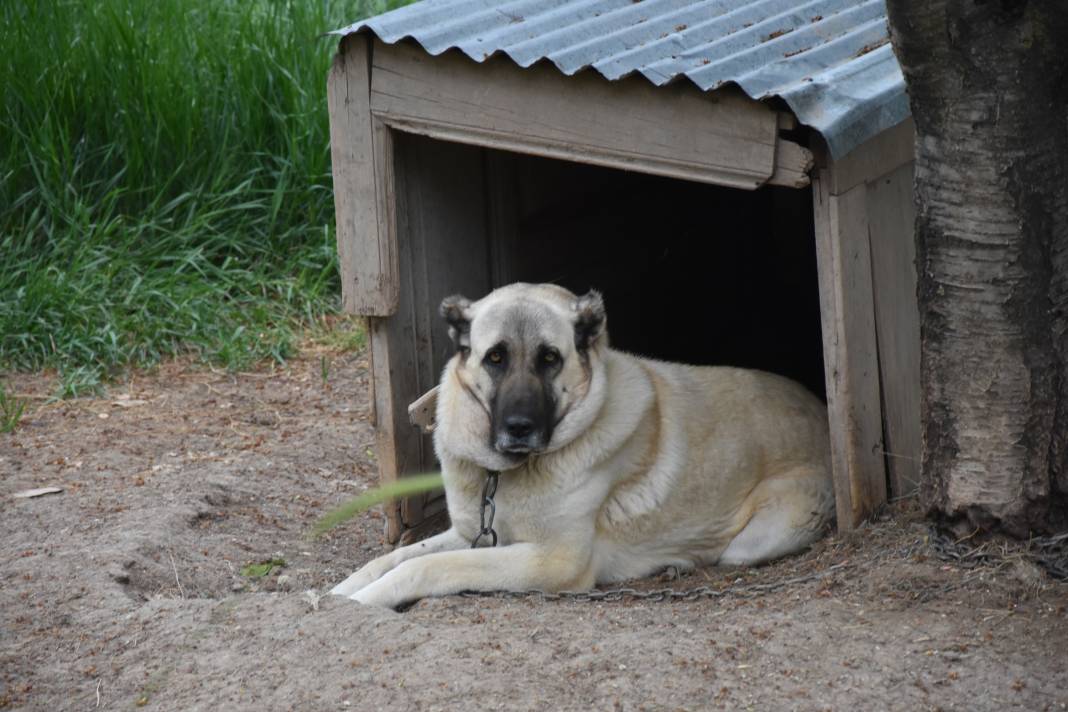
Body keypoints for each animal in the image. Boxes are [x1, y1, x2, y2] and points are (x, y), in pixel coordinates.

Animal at [331, 283, 833, 606]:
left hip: (754, 538)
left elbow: (429, 567)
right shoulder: (469, 534)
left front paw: (368, 599)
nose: (518, 427)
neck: (505, 475)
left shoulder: (552, 560)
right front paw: (344, 589)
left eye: (549, 358)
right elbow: (396, 555)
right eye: (496, 357)